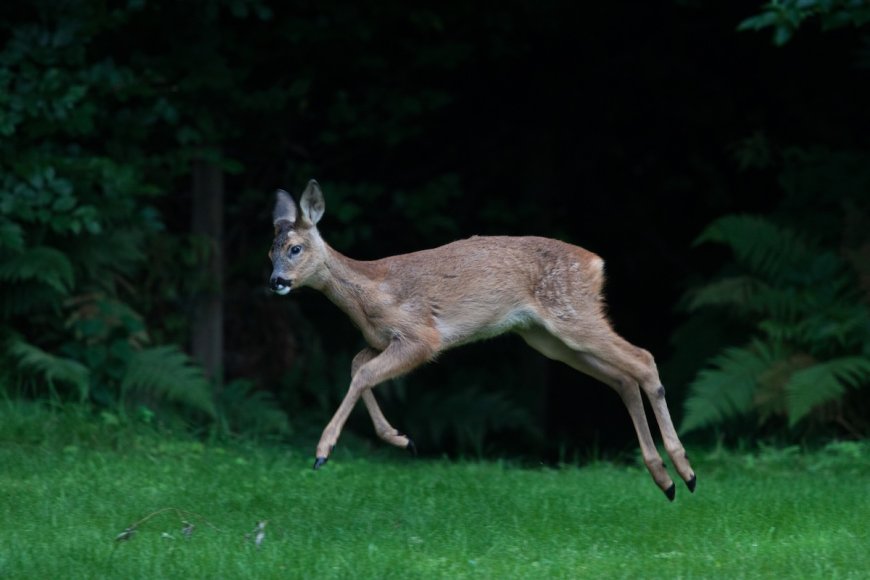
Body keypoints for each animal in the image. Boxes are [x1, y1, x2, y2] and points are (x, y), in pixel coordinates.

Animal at [268, 179, 696, 500]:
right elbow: (357, 366)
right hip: (548, 339)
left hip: (572, 314)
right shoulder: (381, 340)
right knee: (623, 378)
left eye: (295, 248)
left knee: (643, 359)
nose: (276, 281)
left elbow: (364, 374)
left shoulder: (422, 336)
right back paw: (667, 480)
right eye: (269, 252)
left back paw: (685, 471)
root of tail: (596, 263)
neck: (369, 293)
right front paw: (401, 439)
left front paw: (323, 452)